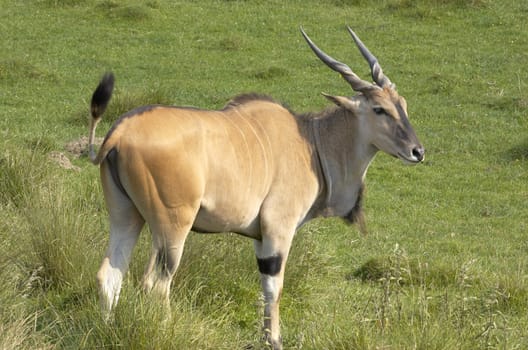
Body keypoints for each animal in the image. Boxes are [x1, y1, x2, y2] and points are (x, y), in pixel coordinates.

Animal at [87, 26, 424, 348]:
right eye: (379, 109)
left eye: (404, 105)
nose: (417, 151)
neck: (312, 142)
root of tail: (120, 132)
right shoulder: (278, 230)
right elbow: (274, 288)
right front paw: (274, 340)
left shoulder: (260, 238)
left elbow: (264, 286)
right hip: (172, 228)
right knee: (156, 284)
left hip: (126, 217)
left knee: (109, 276)